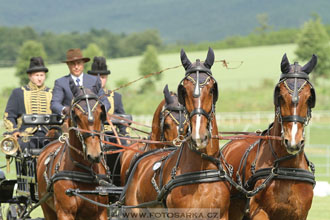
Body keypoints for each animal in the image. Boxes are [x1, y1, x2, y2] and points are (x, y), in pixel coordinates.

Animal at [36, 81, 108, 220]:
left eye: (101, 113)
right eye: (76, 115)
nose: (94, 154)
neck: (86, 170)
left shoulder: (101, 212)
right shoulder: (65, 213)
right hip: (47, 209)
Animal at [222, 53, 318, 220]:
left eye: (309, 98)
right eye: (280, 96)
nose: (293, 142)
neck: (287, 167)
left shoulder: (299, 214)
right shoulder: (259, 212)